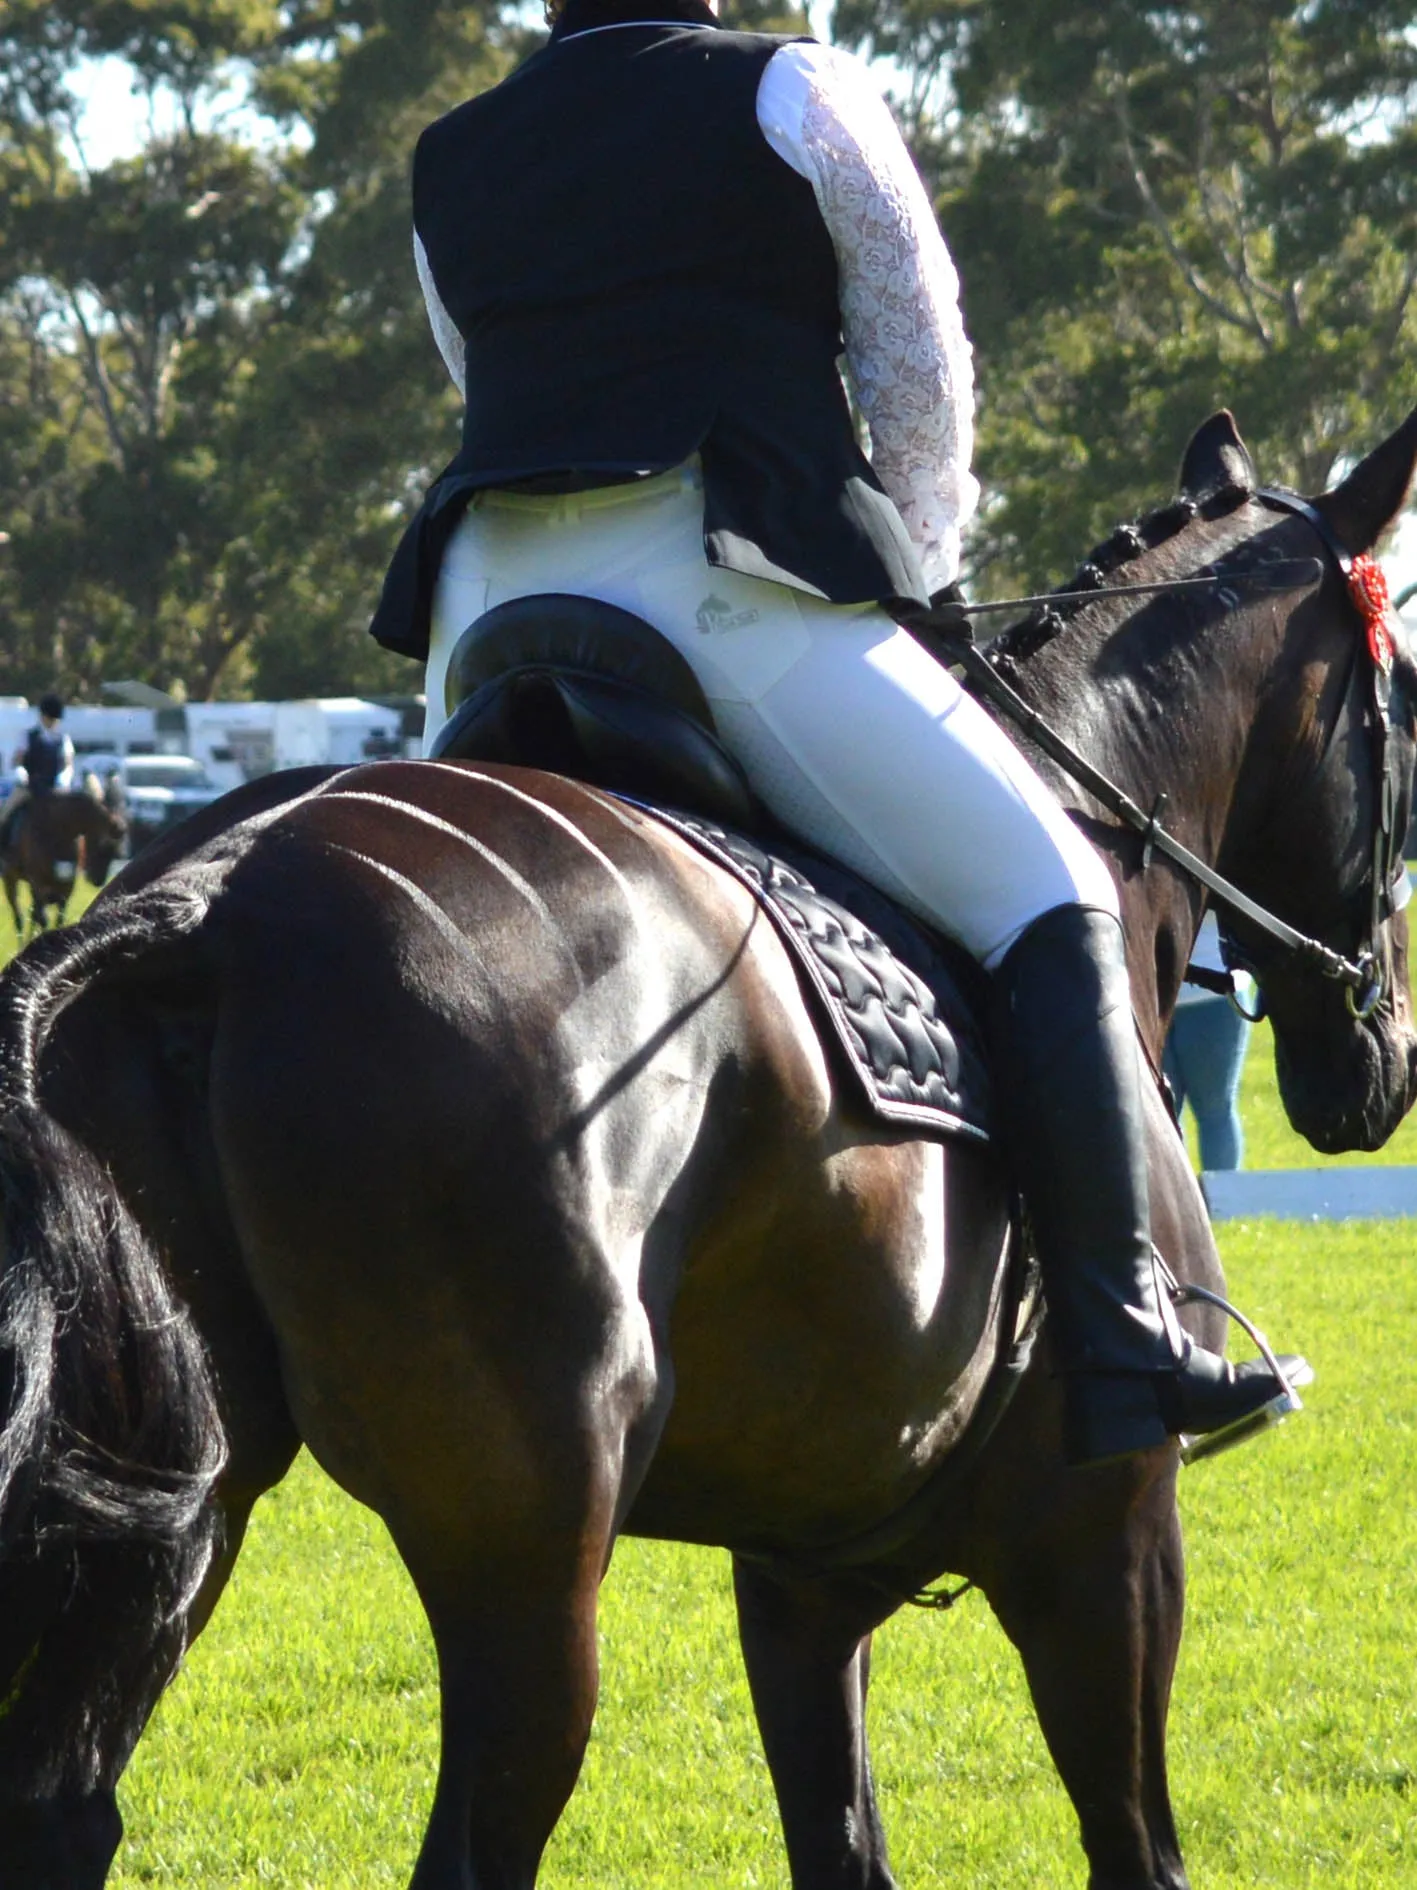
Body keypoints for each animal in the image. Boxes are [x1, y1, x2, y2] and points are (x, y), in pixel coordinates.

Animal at [0, 782, 128, 937]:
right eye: (101, 846)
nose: (120, 828)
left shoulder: (66, 886)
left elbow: (58, 919)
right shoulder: (38, 882)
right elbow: (43, 919)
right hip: (10, 880)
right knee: (19, 918)